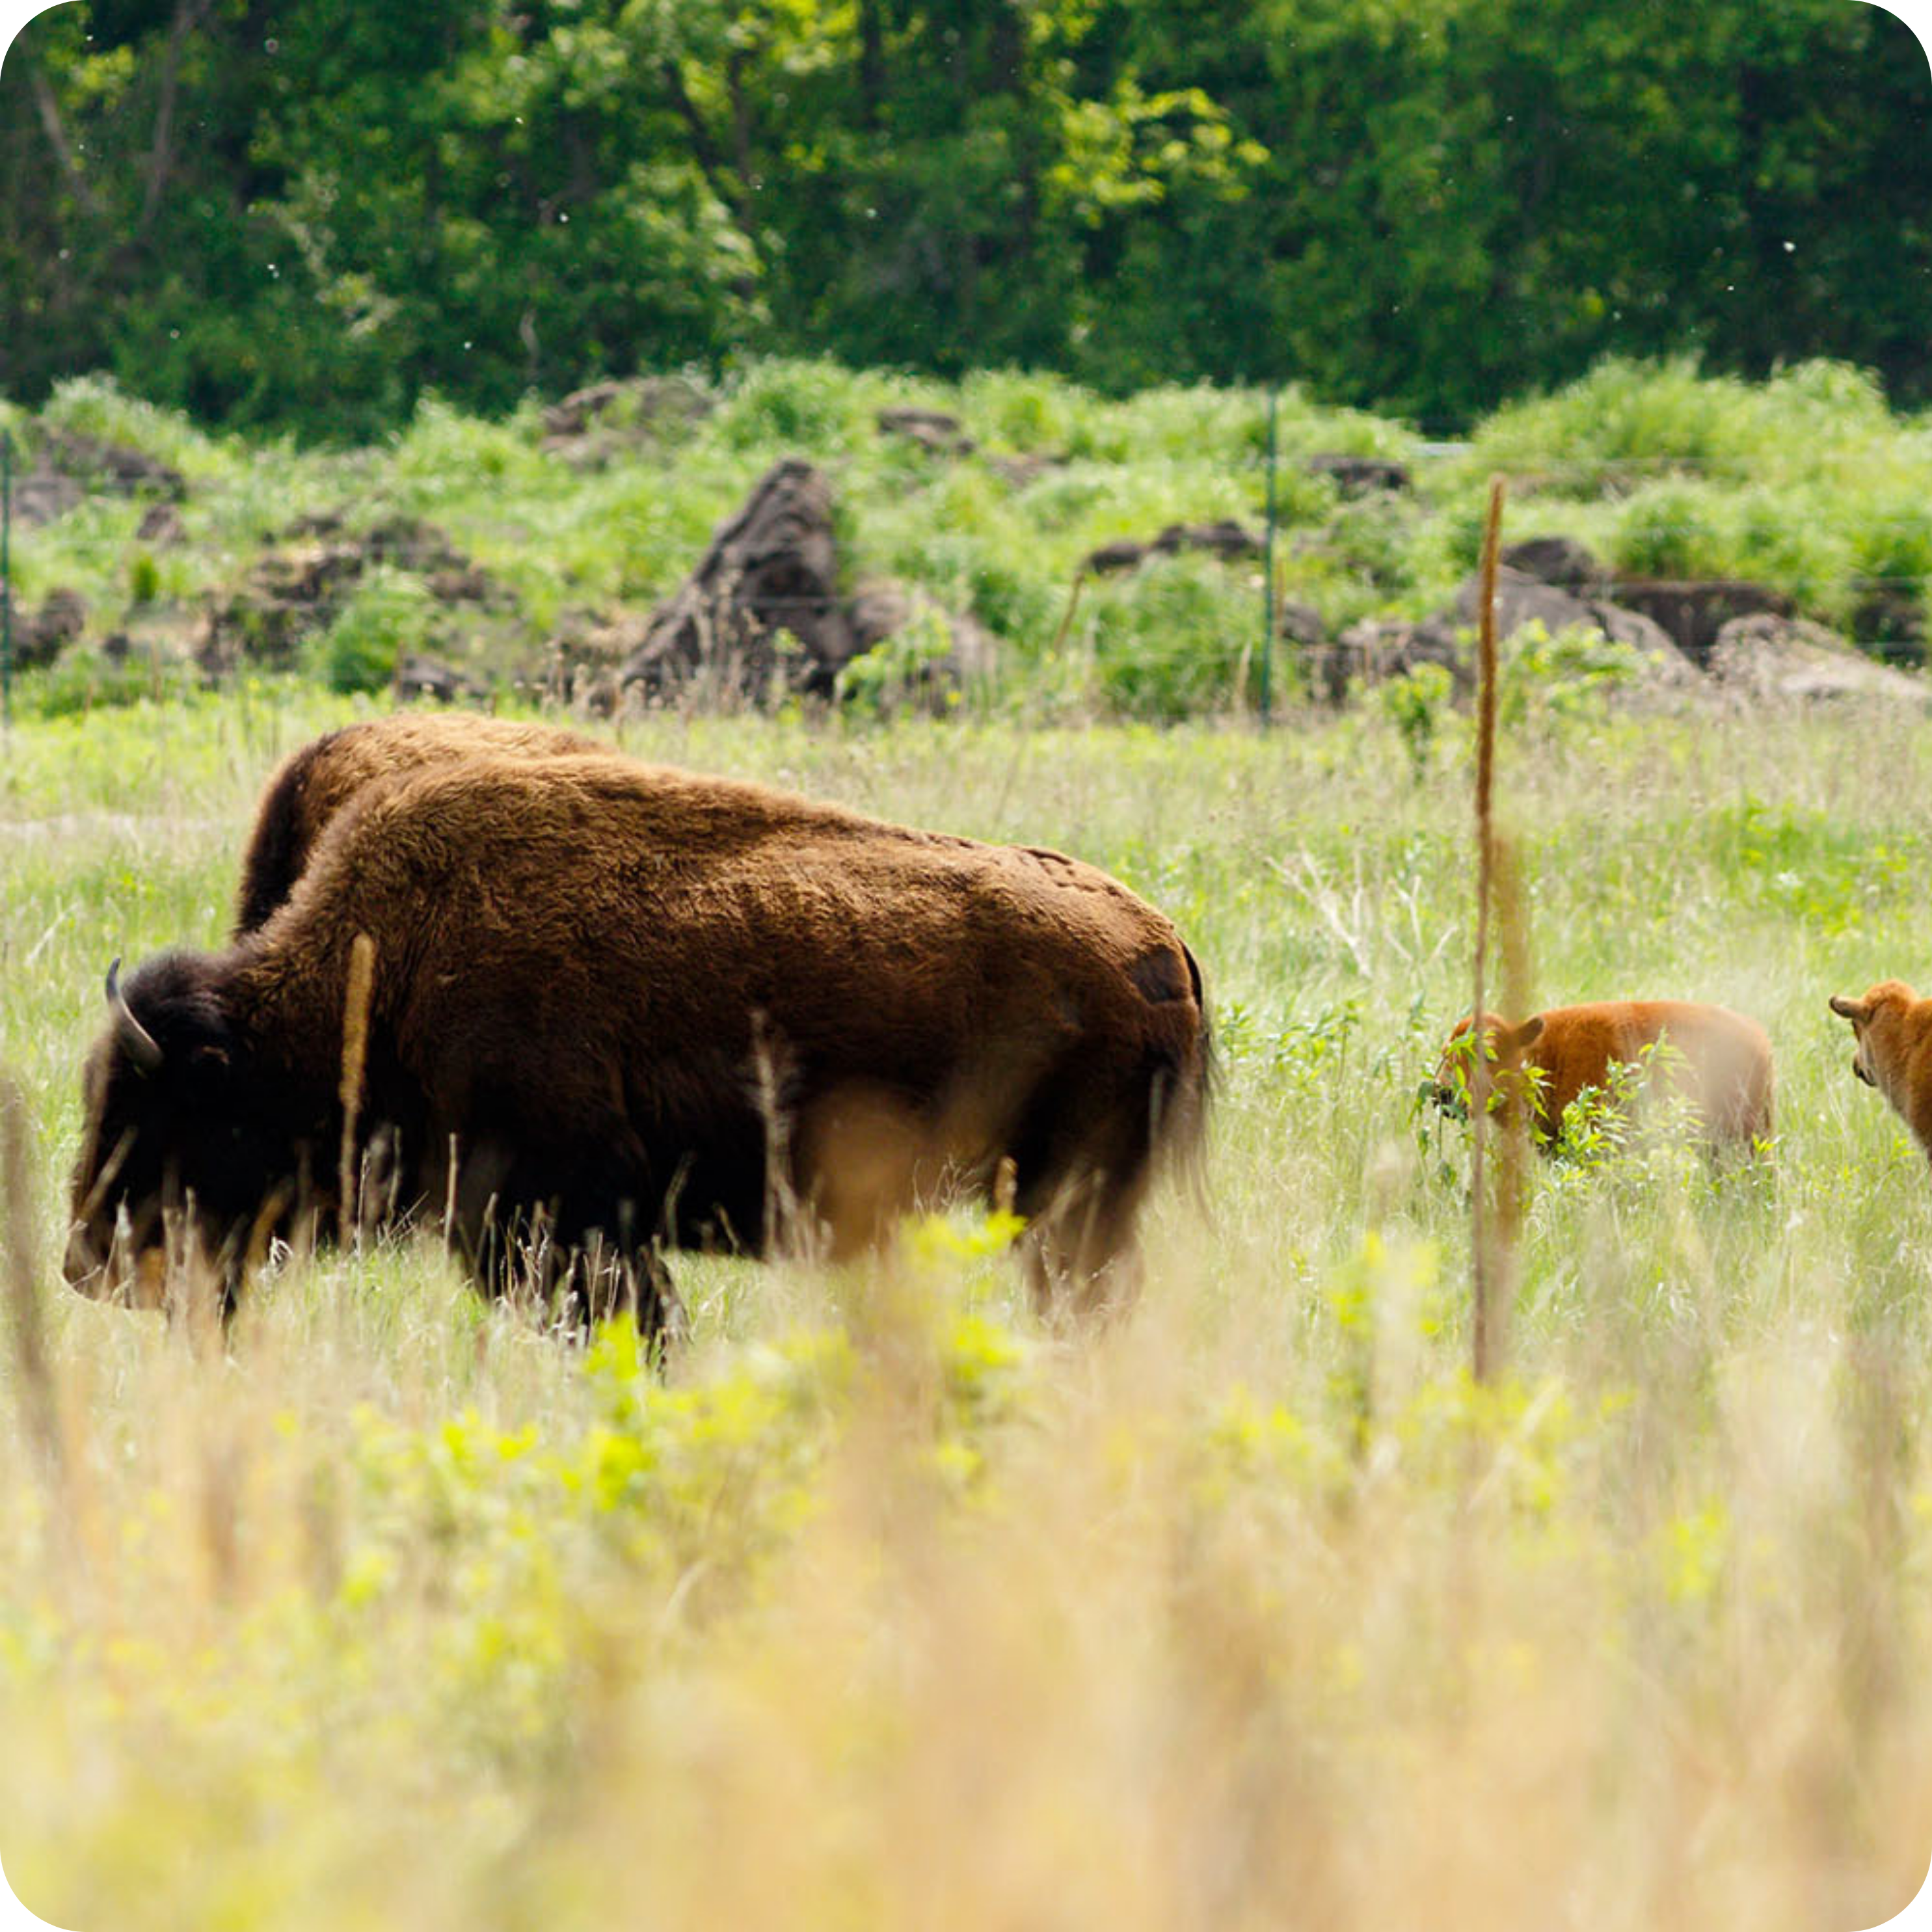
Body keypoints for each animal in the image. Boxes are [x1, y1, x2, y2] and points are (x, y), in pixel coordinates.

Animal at [67, 750, 1209, 1334]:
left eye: (167, 1112)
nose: (88, 1263)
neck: (374, 984)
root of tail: (1157, 939)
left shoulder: (575, 1222)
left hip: (1068, 1204)